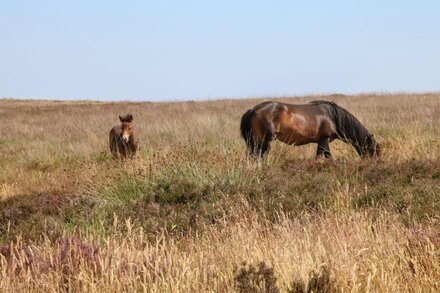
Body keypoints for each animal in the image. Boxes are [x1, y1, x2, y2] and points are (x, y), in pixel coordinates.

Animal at [239, 101, 380, 160]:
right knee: (258, 156)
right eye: (372, 148)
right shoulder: (324, 140)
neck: (333, 116)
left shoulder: (321, 141)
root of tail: (252, 110)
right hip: (262, 141)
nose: (373, 162)